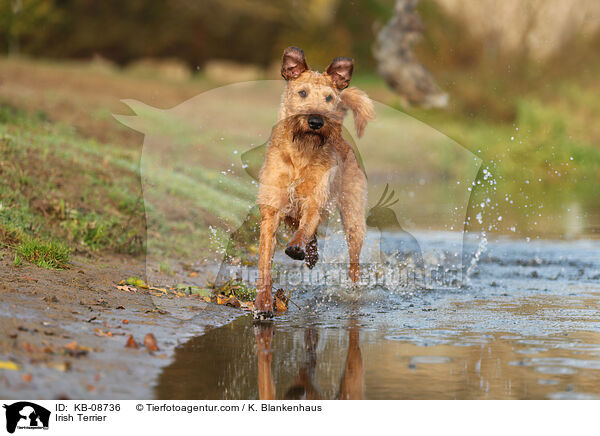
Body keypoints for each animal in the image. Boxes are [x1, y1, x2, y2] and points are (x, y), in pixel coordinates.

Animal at [253, 46, 376, 316]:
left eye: (329, 97)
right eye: (302, 92)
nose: (316, 121)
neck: (301, 153)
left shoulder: (314, 200)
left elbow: (306, 227)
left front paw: (296, 247)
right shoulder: (272, 208)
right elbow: (265, 263)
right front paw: (263, 305)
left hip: (353, 217)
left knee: (353, 263)